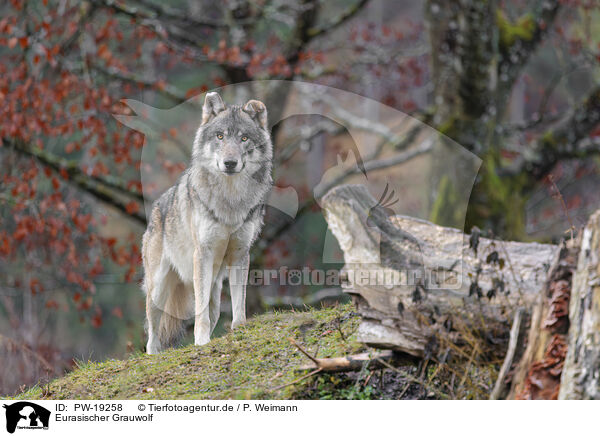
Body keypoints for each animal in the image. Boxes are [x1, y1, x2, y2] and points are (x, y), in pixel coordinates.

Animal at [142, 92, 274, 354]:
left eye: (244, 138)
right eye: (220, 136)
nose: (230, 163)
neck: (230, 201)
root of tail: (157, 207)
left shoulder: (240, 254)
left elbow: (239, 304)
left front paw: (239, 330)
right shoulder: (203, 253)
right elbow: (199, 315)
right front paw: (201, 342)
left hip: (214, 286)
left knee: (213, 314)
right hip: (159, 290)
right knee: (153, 336)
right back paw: (154, 355)